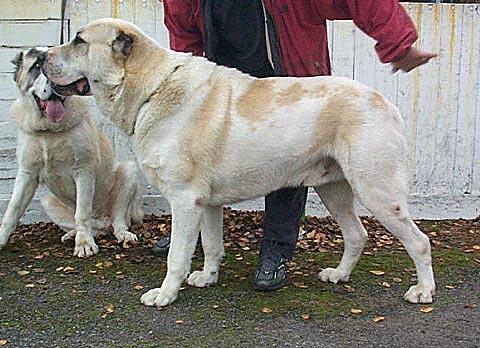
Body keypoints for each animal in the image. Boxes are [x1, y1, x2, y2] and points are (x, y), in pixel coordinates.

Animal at [0, 47, 142, 256]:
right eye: (36, 65)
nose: (54, 82)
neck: (48, 131)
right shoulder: (27, 173)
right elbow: (13, 208)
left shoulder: (83, 170)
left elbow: (82, 212)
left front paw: (84, 244)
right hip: (47, 200)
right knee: (96, 228)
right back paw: (72, 234)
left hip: (128, 172)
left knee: (116, 220)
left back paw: (121, 234)